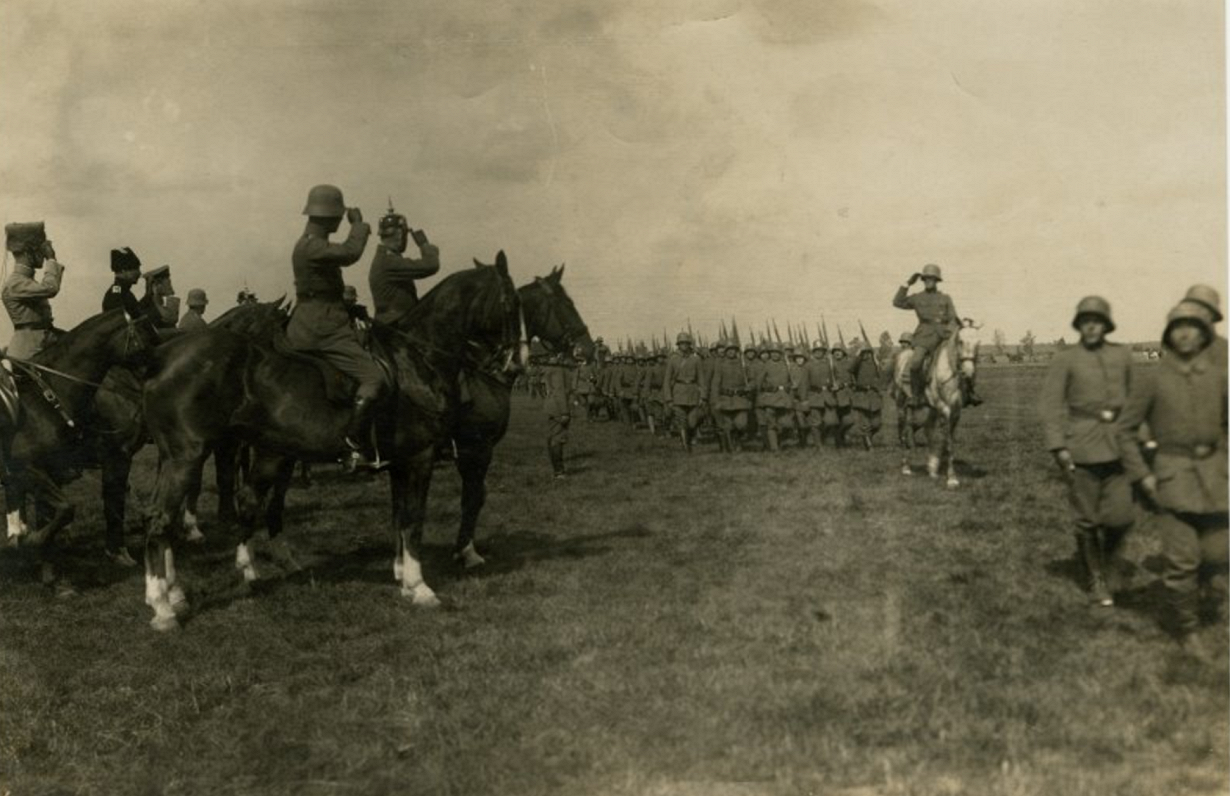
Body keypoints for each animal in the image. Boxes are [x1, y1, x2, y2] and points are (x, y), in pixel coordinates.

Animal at [140, 255, 523, 629]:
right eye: (510, 302)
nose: (517, 365)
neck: (416, 361)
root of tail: (163, 355)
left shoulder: (400, 463)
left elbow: (400, 517)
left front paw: (403, 578)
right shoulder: (421, 458)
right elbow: (415, 520)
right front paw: (420, 586)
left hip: (186, 458)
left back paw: (177, 591)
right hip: (189, 457)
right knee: (161, 519)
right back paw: (163, 607)